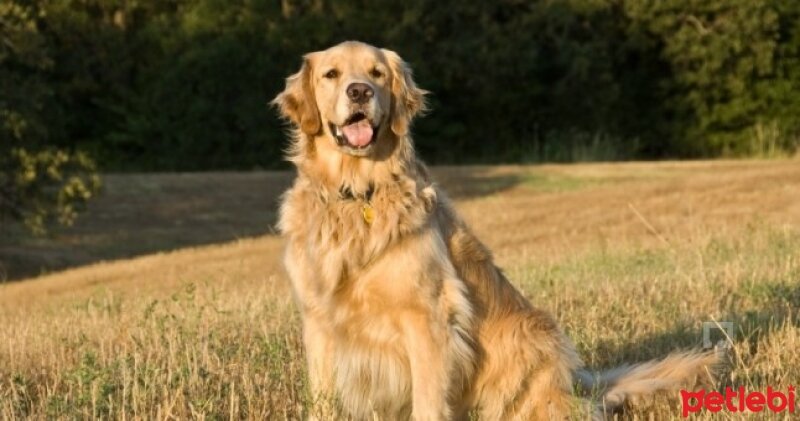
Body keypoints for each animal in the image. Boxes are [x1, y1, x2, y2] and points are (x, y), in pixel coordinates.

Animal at [276, 40, 720, 420]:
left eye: (377, 73)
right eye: (331, 74)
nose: (359, 92)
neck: (357, 193)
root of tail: (578, 381)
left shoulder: (428, 318)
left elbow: (428, 402)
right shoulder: (319, 323)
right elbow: (322, 402)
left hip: (528, 341)